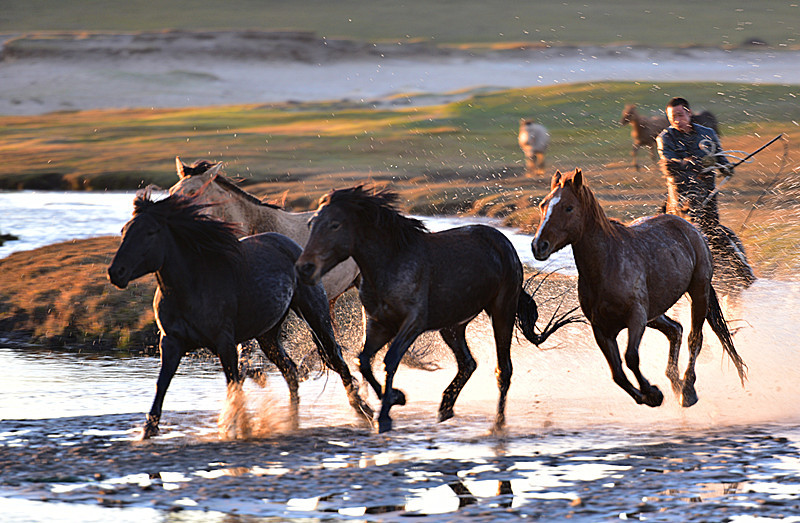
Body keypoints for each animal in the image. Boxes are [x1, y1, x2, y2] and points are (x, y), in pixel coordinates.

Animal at [106, 193, 376, 438]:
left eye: (151, 232)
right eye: (124, 230)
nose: (116, 272)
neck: (191, 286)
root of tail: (290, 245)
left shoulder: (224, 342)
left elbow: (234, 382)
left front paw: (237, 425)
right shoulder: (171, 341)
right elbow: (162, 383)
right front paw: (148, 430)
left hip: (314, 314)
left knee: (335, 358)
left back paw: (364, 411)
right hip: (268, 335)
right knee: (290, 369)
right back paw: (291, 420)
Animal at [296, 185, 580, 434]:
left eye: (335, 224)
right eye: (311, 224)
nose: (304, 268)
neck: (391, 262)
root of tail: (504, 243)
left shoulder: (412, 323)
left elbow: (390, 360)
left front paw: (387, 413)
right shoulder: (379, 324)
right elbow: (363, 360)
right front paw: (396, 398)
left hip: (502, 311)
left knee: (503, 369)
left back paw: (498, 424)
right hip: (453, 326)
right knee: (468, 363)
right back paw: (445, 407)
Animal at [528, 170, 748, 408]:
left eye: (568, 207)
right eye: (543, 204)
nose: (539, 246)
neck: (608, 265)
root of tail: (690, 227)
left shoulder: (636, 318)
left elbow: (631, 357)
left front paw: (652, 392)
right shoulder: (601, 329)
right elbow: (617, 373)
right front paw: (648, 395)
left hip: (698, 293)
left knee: (694, 339)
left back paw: (687, 390)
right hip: (656, 313)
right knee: (676, 330)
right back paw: (676, 383)